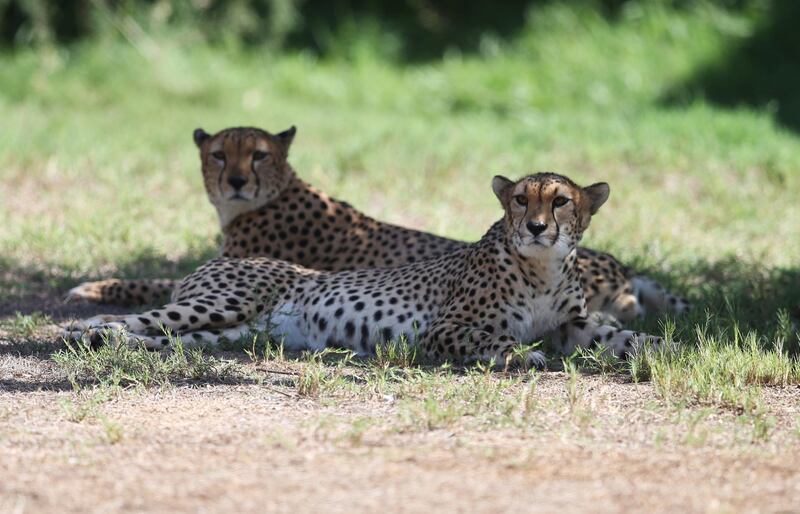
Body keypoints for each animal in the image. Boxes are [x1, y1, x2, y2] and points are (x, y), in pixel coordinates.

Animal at [67, 125, 688, 322]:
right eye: (220, 155)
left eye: (259, 155)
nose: (238, 180)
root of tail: (621, 265)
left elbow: (153, 278)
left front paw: (92, 287)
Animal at [69, 174, 664, 366]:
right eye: (521, 199)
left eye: (561, 201)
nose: (538, 226)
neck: (541, 267)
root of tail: (223, 256)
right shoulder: (446, 329)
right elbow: (493, 340)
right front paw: (522, 356)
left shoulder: (571, 322)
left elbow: (613, 333)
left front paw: (658, 345)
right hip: (224, 300)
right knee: (143, 318)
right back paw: (83, 329)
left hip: (235, 334)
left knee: (166, 338)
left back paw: (109, 342)